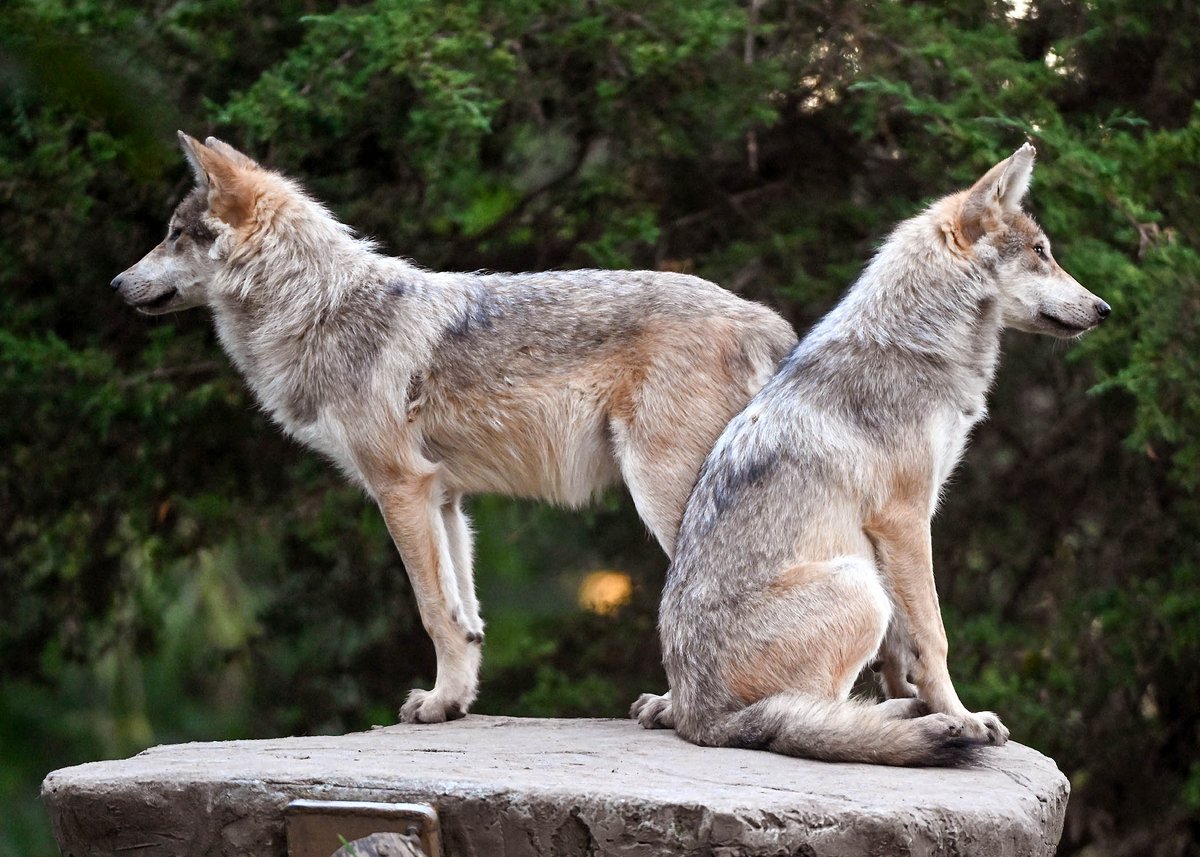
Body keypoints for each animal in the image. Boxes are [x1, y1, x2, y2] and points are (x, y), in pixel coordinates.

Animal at [111, 133, 797, 724]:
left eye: (173, 236)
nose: (115, 283)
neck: (318, 308)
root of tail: (766, 319)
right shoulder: (444, 498)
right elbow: (464, 617)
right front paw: (454, 700)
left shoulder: (400, 488)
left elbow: (431, 610)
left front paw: (438, 704)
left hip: (663, 494)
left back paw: (684, 707)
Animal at [630, 144, 1110, 765]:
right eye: (1041, 253)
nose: (1104, 309)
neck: (918, 346)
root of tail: (703, 719)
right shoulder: (904, 519)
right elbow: (934, 636)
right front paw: (961, 715)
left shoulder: (908, 524)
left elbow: (904, 647)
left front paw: (917, 697)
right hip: (859, 584)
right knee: (808, 717)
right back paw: (921, 725)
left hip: (864, 579)